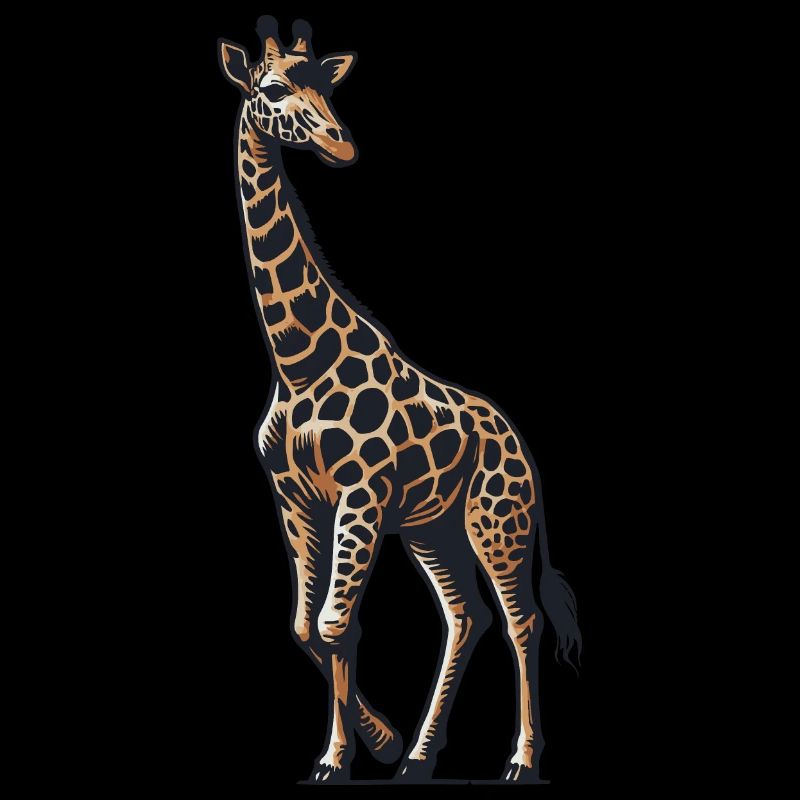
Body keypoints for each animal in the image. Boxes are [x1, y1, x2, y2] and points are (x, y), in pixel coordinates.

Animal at [219, 16, 582, 784]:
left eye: (328, 87)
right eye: (273, 89)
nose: (340, 144)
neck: (297, 362)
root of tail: (520, 445)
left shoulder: (361, 493)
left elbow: (334, 623)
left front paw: (349, 754)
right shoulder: (296, 498)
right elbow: (309, 626)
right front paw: (359, 750)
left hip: (496, 521)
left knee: (521, 619)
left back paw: (520, 760)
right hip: (432, 528)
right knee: (467, 616)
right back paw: (418, 757)